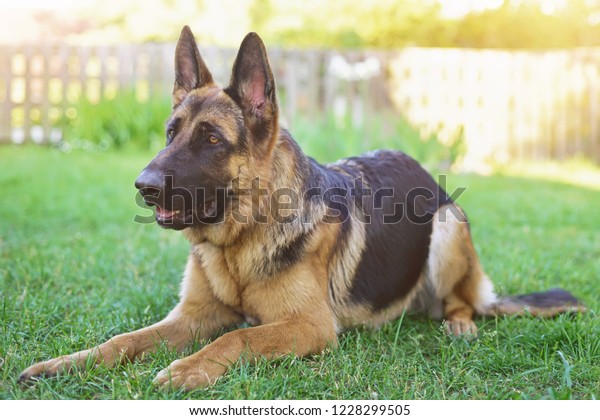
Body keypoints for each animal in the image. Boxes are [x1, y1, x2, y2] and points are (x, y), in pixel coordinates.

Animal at [19, 25, 584, 388]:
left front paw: (191, 368)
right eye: (170, 133)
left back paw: (460, 323)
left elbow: (236, 340)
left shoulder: (309, 327)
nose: (144, 185)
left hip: (448, 224)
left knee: (465, 300)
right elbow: (123, 340)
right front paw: (67, 363)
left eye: (211, 139)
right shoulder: (192, 316)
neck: (241, 243)